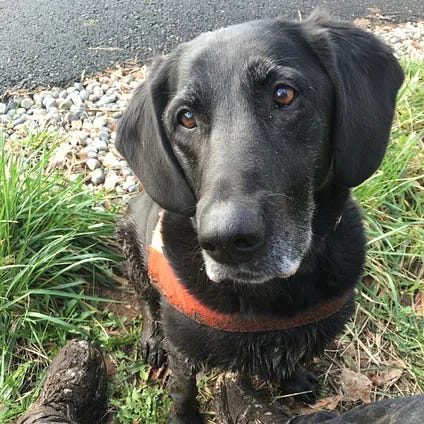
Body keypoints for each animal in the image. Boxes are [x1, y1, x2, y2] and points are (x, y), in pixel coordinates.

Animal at [116, 11, 404, 422]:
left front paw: (293, 380)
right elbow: (183, 390)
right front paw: (186, 415)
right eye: (185, 118)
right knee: (146, 301)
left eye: (284, 94)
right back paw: (151, 338)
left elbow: (294, 356)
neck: (271, 298)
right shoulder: (184, 350)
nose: (226, 241)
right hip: (131, 251)